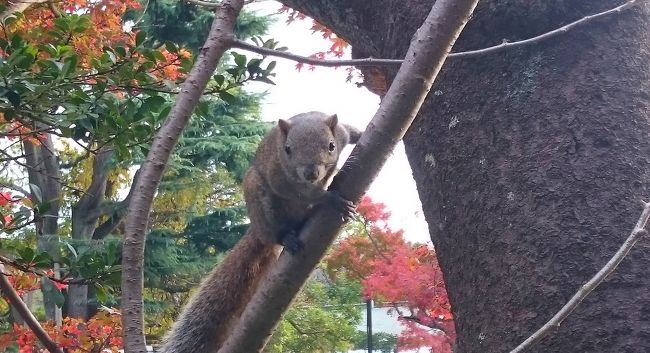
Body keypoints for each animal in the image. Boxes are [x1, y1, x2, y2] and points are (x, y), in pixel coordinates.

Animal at [157, 110, 360, 352]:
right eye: (288, 149)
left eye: (331, 146)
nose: (311, 173)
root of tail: (257, 229)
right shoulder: (278, 173)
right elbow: (303, 193)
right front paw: (329, 199)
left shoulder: (341, 133)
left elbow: (350, 131)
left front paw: (361, 133)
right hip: (260, 202)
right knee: (276, 232)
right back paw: (287, 236)